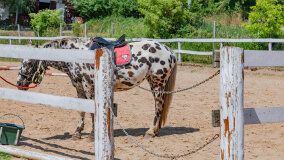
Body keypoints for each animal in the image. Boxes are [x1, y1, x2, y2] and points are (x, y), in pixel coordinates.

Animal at [16, 37, 178, 140]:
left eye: (30, 62)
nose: (19, 82)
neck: (76, 55)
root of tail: (169, 51)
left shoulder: (89, 87)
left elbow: (91, 111)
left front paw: (91, 135)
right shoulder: (79, 88)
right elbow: (81, 110)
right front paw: (77, 133)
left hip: (157, 83)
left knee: (158, 106)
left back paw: (151, 132)